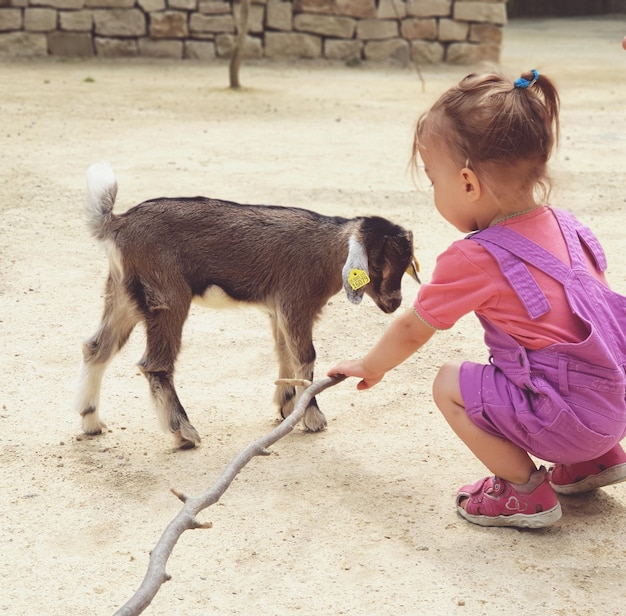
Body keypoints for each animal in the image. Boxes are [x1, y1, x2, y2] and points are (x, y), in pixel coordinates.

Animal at [77, 162, 420, 452]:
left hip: (122, 294)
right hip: (167, 296)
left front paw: (286, 406)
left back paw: (91, 421)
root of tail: (116, 223)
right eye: (377, 264)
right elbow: (305, 356)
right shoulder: (296, 303)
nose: (394, 303)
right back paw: (184, 432)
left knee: (96, 348)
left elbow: (284, 352)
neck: (326, 252)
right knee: (155, 364)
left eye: (405, 265)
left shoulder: (277, 309)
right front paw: (312, 418)